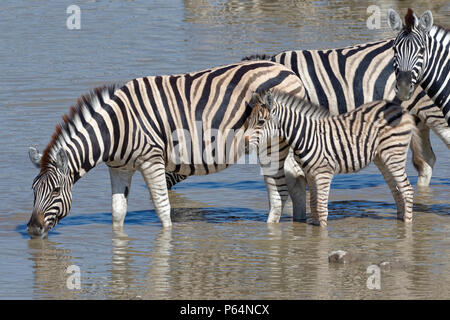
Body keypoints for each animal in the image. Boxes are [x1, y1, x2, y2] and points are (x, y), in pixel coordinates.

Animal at [27, 60, 306, 238]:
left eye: (55, 190)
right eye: (33, 191)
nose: (32, 229)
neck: (116, 129)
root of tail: (289, 71)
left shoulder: (151, 160)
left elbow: (162, 207)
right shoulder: (119, 167)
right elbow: (118, 212)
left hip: (272, 144)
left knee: (278, 192)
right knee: (295, 180)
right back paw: (300, 223)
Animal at [246, 89, 418, 226]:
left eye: (261, 122)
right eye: (248, 121)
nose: (245, 143)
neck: (306, 135)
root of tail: (399, 107)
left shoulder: (324, 173)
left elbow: (321, 208)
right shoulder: (310, 174)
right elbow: (313, 205)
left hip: (394, 155)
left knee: (407, 190)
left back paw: (407, 225)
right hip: (382, 158)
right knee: (397, 191)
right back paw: (400, 220)